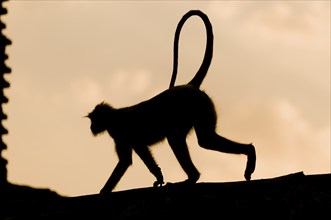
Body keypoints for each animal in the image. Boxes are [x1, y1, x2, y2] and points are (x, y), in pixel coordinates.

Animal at [85, 10, 256, 193]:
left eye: (94, 120)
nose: (92, 127)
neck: (115, 115)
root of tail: (190, 85)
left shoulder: (119, 130)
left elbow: (129, 158)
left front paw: (104, 191)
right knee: (198, 139)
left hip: (197, 106)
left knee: (189, 139)